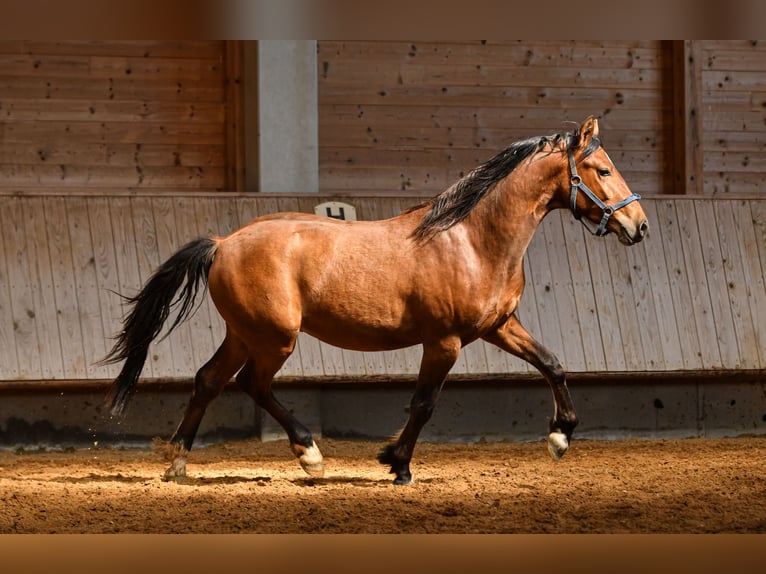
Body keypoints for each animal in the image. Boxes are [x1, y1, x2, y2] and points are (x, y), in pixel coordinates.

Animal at [103, 116, 648, 485]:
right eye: (601, 170)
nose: (638, 225)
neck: (472, 240)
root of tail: (223, 242)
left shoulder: (498, 326)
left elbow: (552, 364)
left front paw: (560, 437)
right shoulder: (444, 342)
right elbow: (424, 403)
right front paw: (397, 464)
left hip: (244, 334)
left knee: (208, 381)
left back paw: (178, 463)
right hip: (275, 338)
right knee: (251, 384)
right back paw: (310, 455)